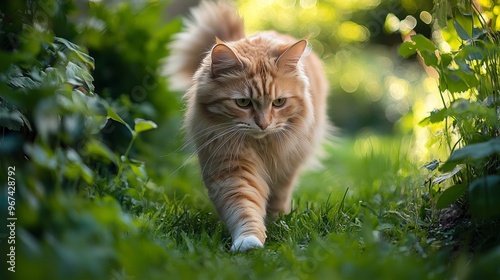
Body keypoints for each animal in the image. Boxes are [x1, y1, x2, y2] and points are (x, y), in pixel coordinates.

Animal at [166, 0, 330, 252]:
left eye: (279, 102)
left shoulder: (284, 165)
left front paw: (275, 223)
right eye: (243, 103)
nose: (263, 124)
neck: (262, 146)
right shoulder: (232, 167)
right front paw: (249, 241)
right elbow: (244, 207)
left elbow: (276, 198)